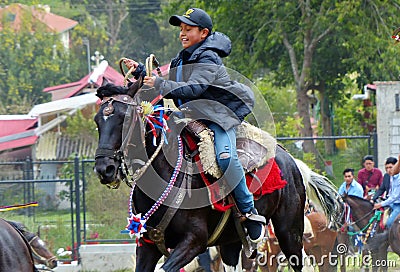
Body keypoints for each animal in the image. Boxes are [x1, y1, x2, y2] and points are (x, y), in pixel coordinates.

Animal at [93, 81, 340, 272]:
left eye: (125, 117)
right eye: (97, 120)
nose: (105, 168)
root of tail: (292, 161)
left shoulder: (194, 241)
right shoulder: (147, 244)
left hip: (289, 231)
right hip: (231, 241)